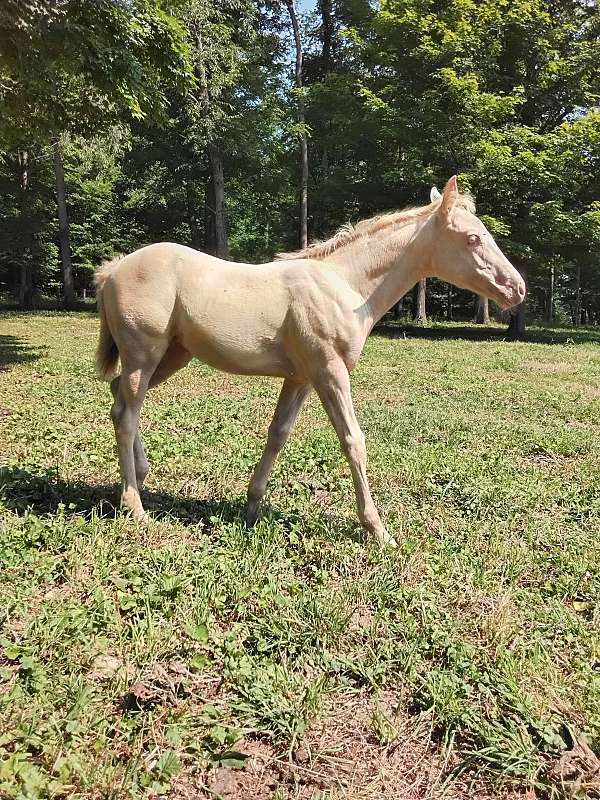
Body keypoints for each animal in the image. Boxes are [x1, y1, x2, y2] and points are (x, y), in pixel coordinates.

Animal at [94, 177, 524, 548]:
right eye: (472, 237)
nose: (517, 288)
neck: (346, 286)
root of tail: (114, 269)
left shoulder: (300, 377)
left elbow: (278, 434)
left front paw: (252, 507)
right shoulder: (329, 371)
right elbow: (353, 440)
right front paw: (377, 530)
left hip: (172, 356)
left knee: (120, 398)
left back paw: (141, 478)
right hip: (144, 354)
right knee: (126, 413)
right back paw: (134, 506)